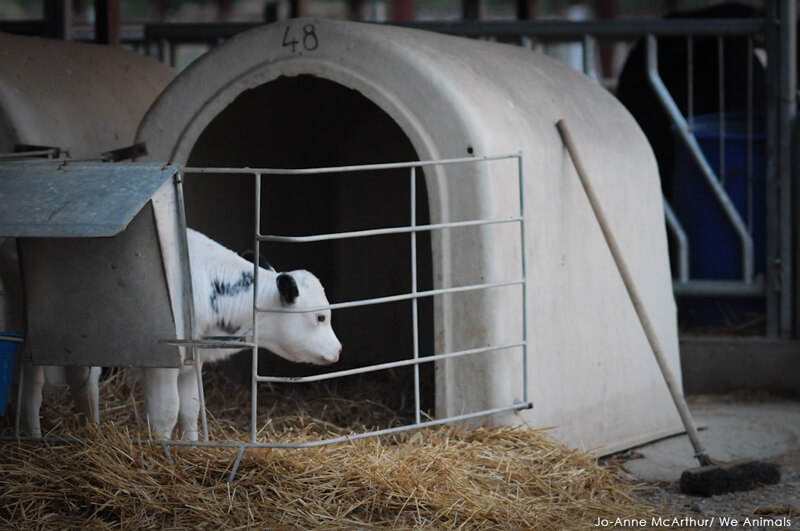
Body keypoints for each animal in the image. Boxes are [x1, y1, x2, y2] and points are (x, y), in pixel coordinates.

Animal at [142, 231, 342, 442]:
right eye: (321, 317)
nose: (338, 349)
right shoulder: (162, 358)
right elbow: (166, 411)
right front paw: (162, 447)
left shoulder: (193, 359)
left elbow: (190, 407)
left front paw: (192, 445)